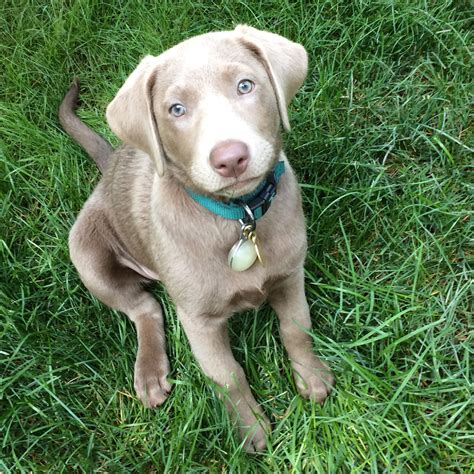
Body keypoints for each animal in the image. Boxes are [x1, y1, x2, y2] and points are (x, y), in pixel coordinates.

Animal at [59, 25, 334, 452]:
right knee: (144, 307)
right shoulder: (198, 319)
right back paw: (150, 373)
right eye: (176, 110)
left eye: (245, 85)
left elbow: (297, 329)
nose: (230, 158)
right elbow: (227, 374)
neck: (239, 216)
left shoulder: (291, 275)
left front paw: (313, 377)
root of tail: (110, 168)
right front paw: (250, 429)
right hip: (87, 254)